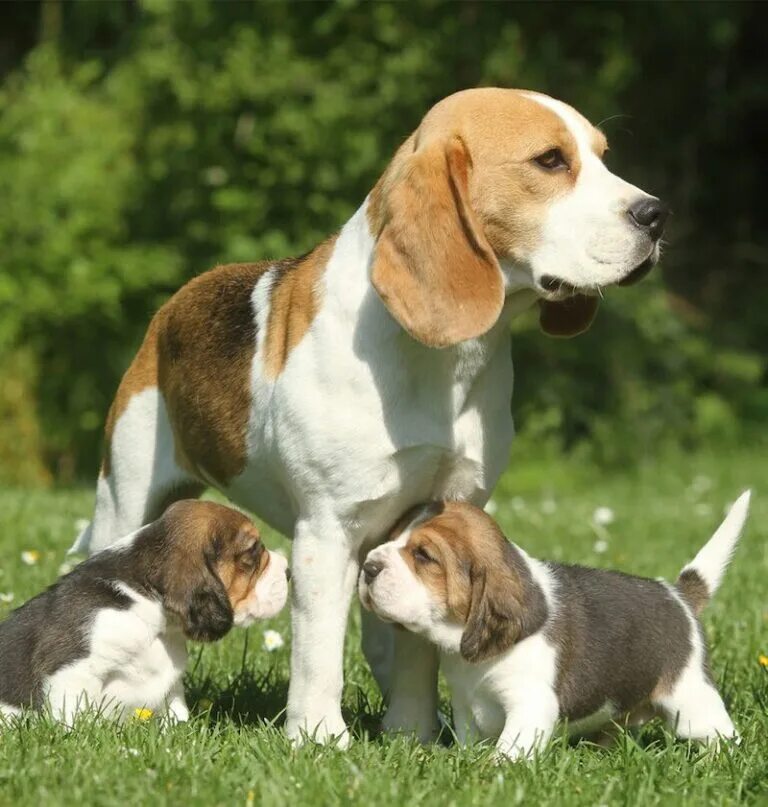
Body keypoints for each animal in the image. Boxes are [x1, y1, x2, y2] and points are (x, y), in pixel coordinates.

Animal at [0, 502, 288, 724]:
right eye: (253, 550)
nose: (288, 570)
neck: (146, 606)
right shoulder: (72, 669)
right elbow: (74, 719)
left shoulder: (170, 685)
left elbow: (177, 714)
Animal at [72, 87, 668, 744]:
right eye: (550, 160)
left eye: (603, 155)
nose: (656, 214)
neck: (444, 362)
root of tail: (171, 309)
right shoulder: (327, 531)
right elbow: (318, 653)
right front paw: (318, 737)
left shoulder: (440, 513)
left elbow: (415, 641)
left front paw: (412, 734)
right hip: (125, 498)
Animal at [360, 492, 752, 764]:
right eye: (390, 537)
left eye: (424, 556)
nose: (367, 566)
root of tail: (678, 594)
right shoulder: (466, 705)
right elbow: (471, 737)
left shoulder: (531, 705)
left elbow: (509, 749)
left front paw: (489, 770)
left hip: (691, 700)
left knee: (723, 734)